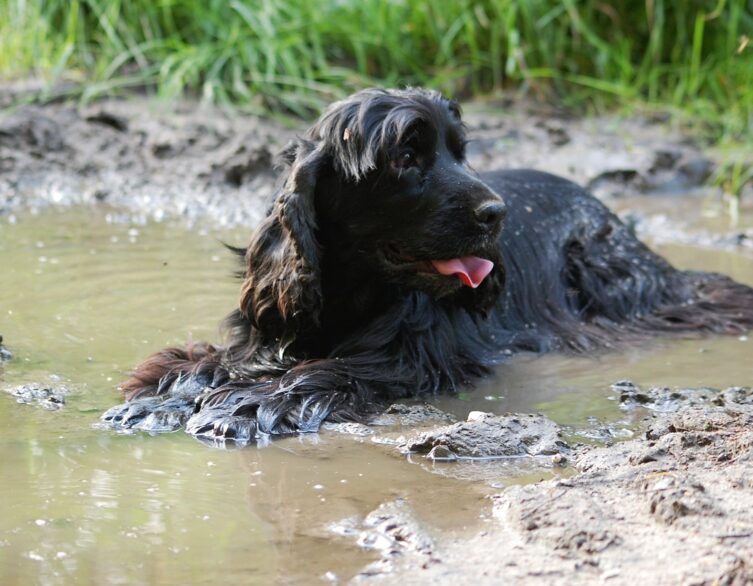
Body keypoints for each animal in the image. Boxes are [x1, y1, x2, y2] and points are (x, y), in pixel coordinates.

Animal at [103, 88, 752, 442]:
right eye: (407, 156)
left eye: (460, 153)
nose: (497, 213)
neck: (352, 291)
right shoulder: (271, 329)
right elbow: (210, 363)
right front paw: (160, 398)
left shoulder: (411, 356)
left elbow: (327, 372)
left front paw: (246, 406)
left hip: (605, 272)